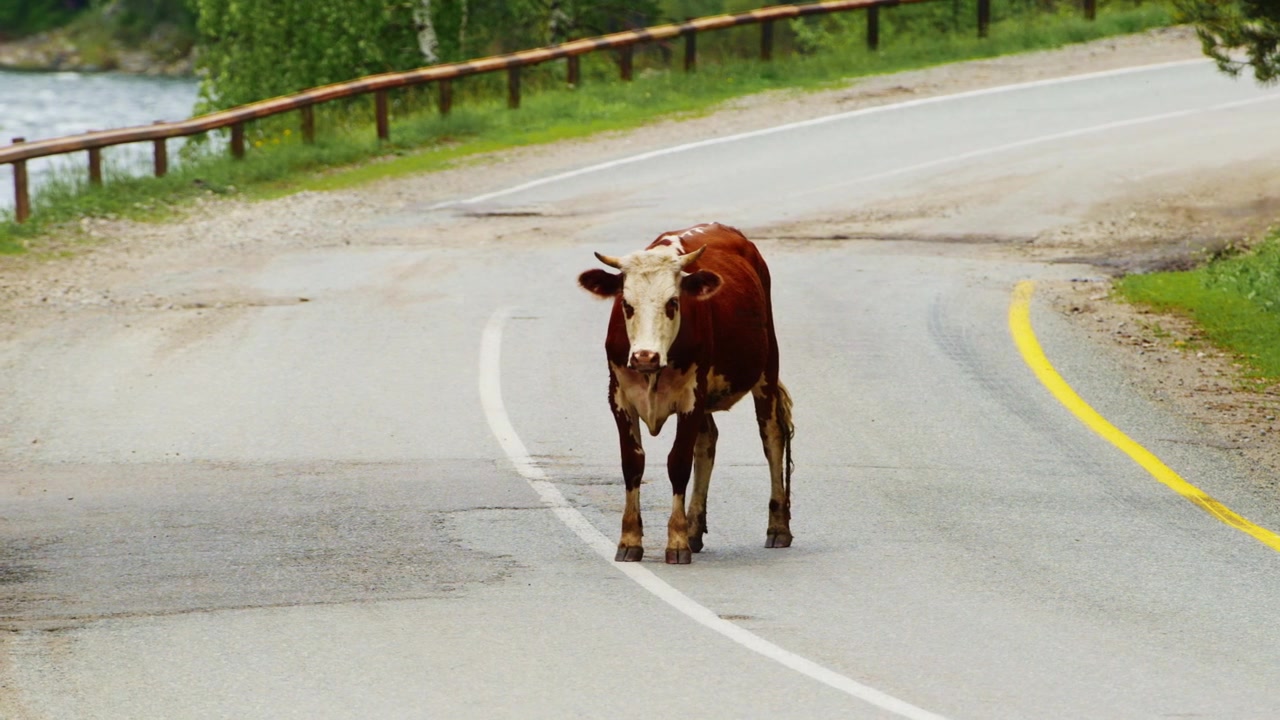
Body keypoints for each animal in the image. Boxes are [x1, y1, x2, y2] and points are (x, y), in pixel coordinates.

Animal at [578, 222, 794, 564]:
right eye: (627, 304)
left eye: (673, 303)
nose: (645, 356)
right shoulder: (620, 399)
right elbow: (632, 464)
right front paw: (630, 540)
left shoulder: (691, 398)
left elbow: (678, 463)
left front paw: (676, 541)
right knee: (707, 443)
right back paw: (695, 528)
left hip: (766, 369)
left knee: (771, 437)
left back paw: (777, 527)